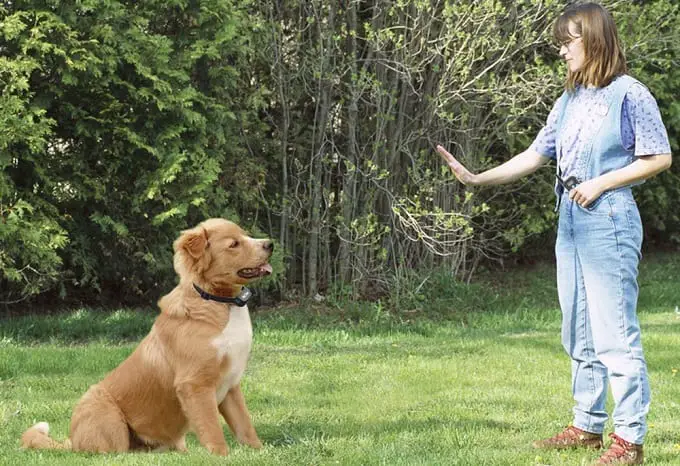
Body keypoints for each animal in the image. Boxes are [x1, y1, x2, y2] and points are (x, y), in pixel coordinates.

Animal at [20, 218, 274, 456]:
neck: (219, 302)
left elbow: (245, 426)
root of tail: (72, 442)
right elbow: (212, 429)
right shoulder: (195, 384)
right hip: (106, 415)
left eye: (245, 235)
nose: (270, 244)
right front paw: (221, 455)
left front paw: (259, 452)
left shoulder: (231, 386)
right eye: (234, 244)